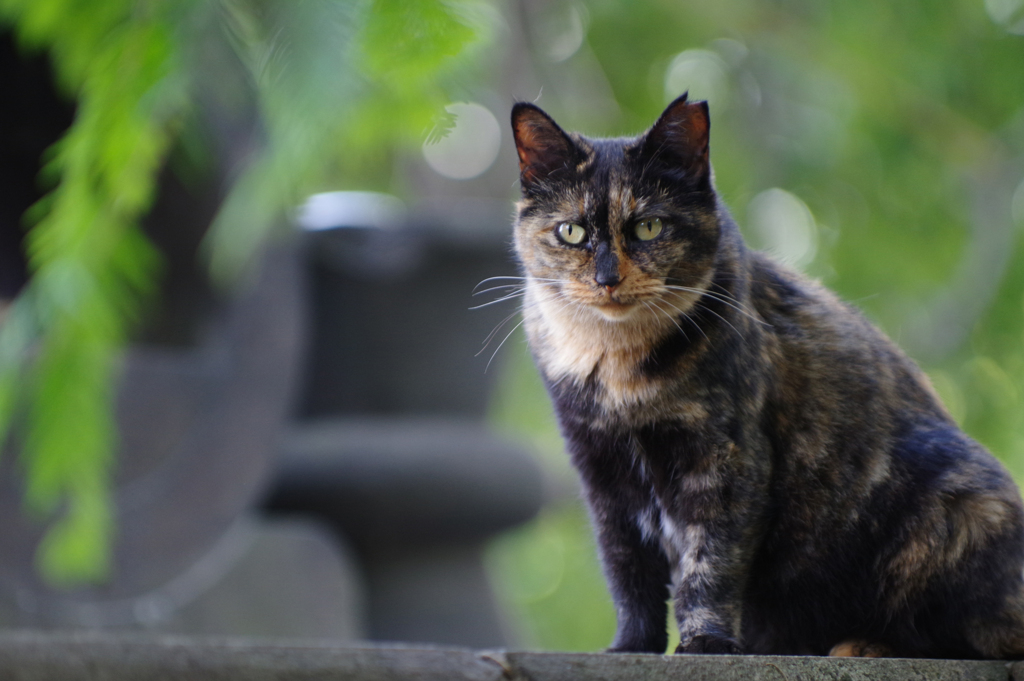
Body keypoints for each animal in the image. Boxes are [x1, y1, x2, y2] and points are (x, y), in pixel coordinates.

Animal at [512, 93, 1024, 655]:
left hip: (959, 505)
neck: (617, 372)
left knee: (972, 638)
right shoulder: (602, 473)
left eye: (649, 226)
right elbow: (628, 573)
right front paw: (632, 646)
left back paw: (862, 644)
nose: (607, 278)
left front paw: (706, 641)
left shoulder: (728, 459)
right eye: (571, 231)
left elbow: (710, 562)